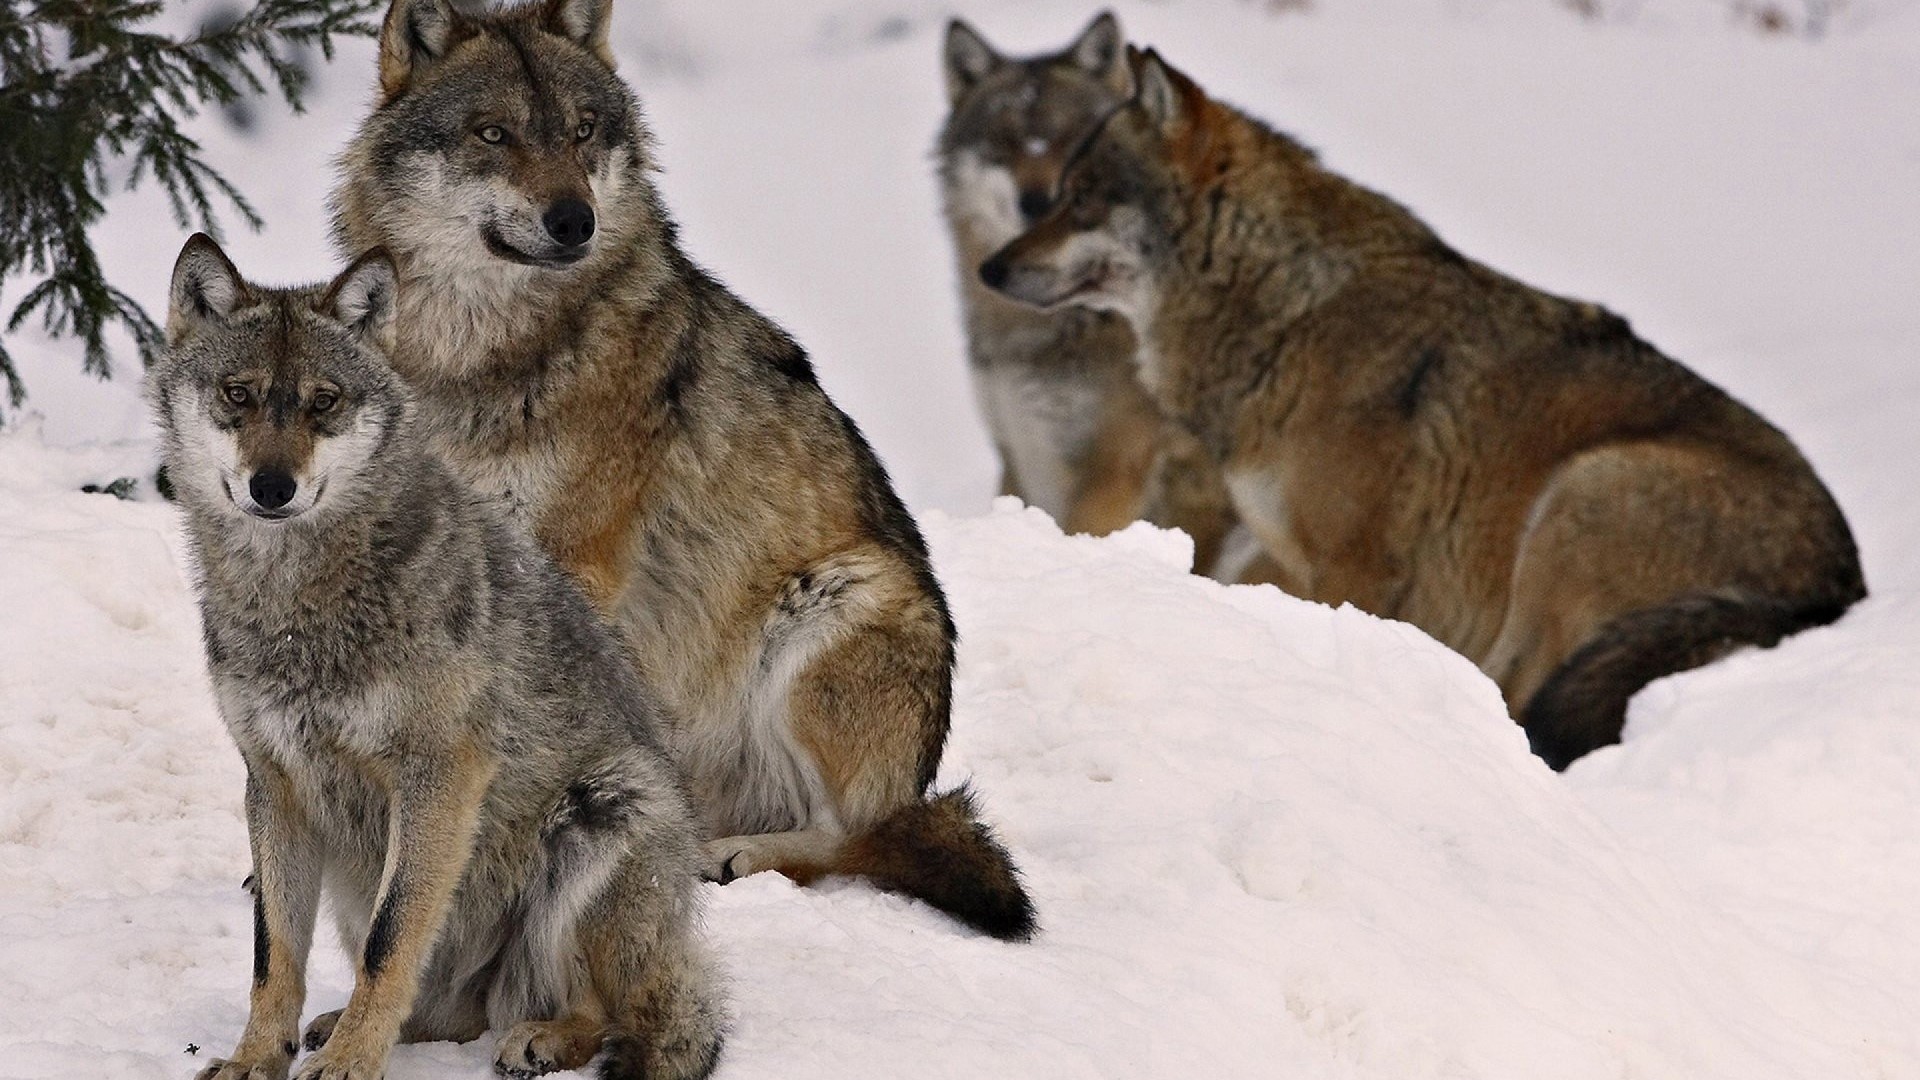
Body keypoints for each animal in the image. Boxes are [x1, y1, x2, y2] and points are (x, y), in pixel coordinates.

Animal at [155, 235, 724, 1080]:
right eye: (239, 394)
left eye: (324, 402)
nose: (272, 486)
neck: (297, 603)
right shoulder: (275, 784)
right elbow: (273, 954)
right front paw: (257, 1059)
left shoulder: (439, 776)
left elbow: (391, 943)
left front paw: (351, 1066)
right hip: (356, 880)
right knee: (450, 1015)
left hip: (605, 809)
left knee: (600, 1011)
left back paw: (540, 1039)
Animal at [331, 0, 1035, 939]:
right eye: (494, 134)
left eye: (582, 130)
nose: (575, 220)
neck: (478, 355)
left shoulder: (576, 564)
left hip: (834, 606)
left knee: (860, 839)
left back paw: (730, 857)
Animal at [981, 49, 1866, 769]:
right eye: (1058, 196)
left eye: (1082, 201)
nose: (990, 268)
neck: (1290, 311)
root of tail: (1838, 587)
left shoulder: (1357, 567)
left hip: (1580, 497)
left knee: (1524, 700)